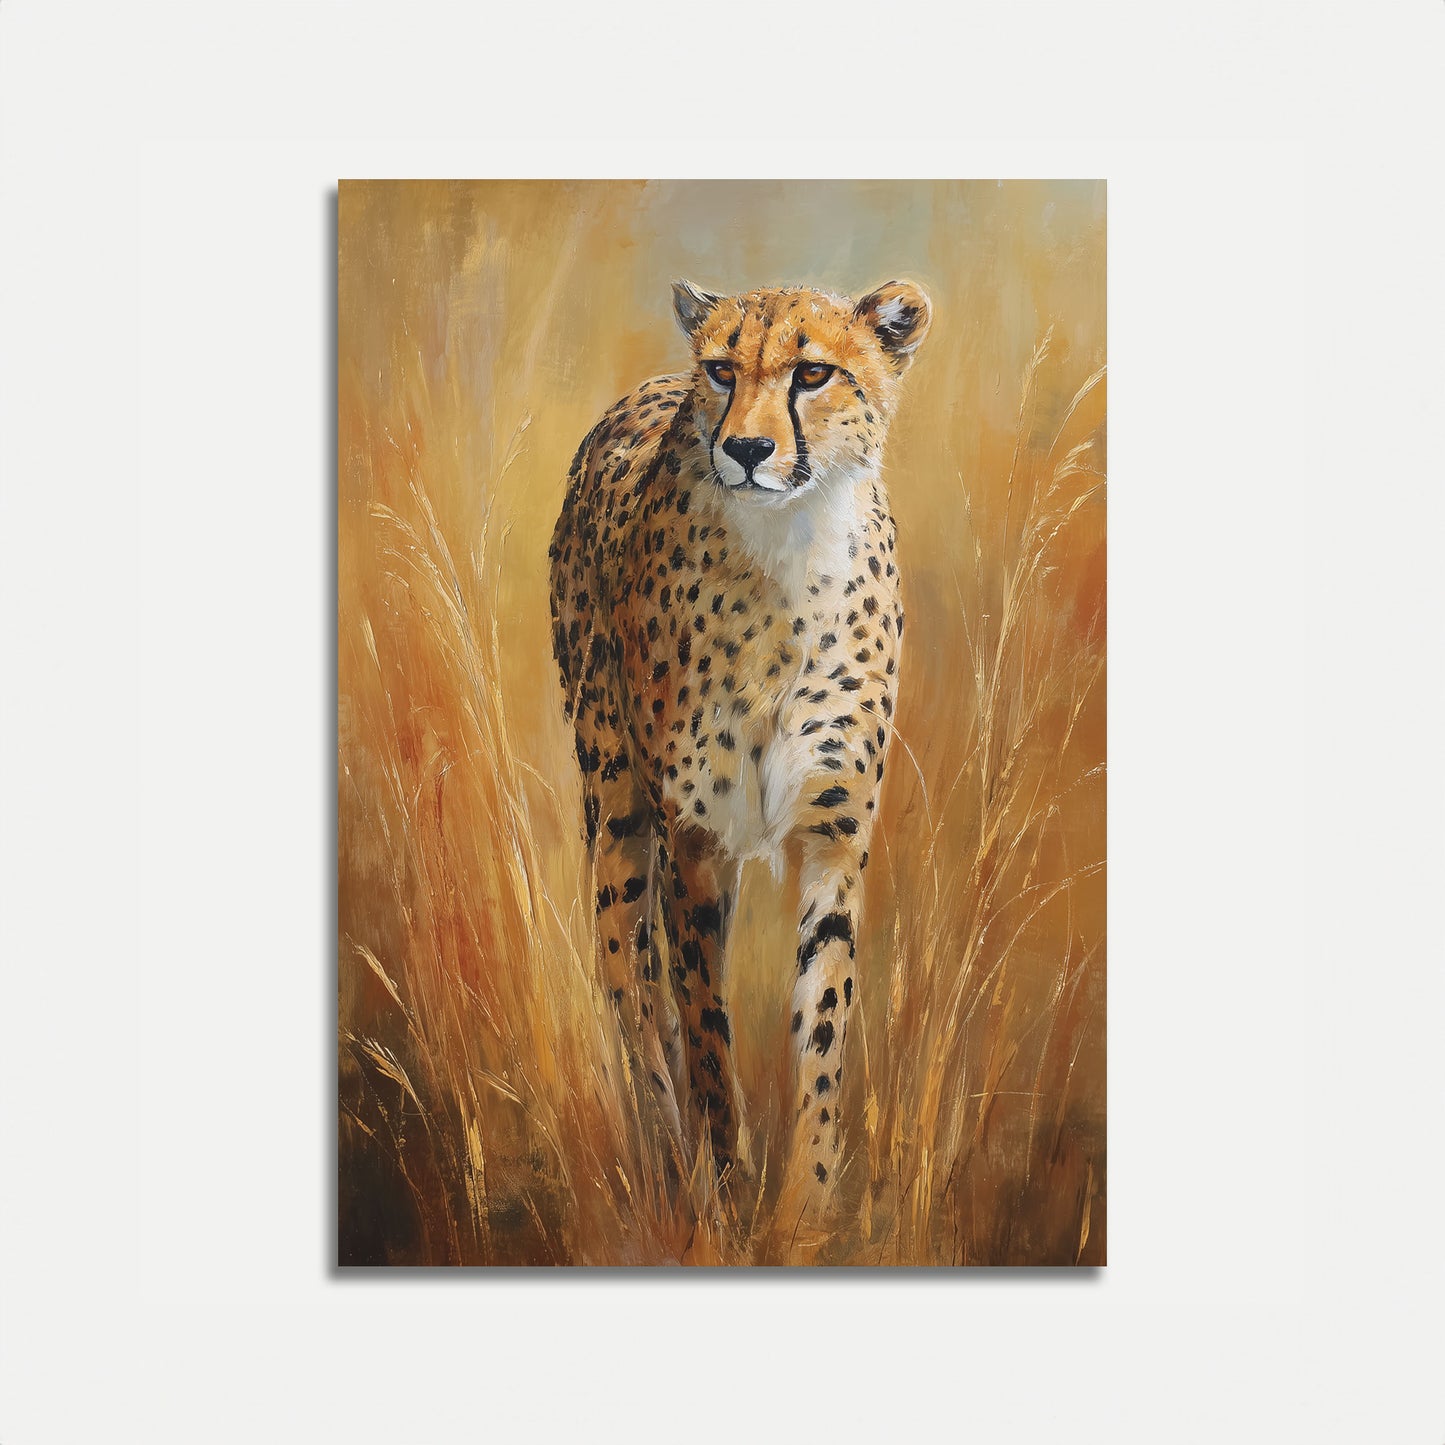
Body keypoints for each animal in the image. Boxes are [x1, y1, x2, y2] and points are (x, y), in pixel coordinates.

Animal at [548, 277, 931, 1228]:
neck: (787, 556)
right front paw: (722, 1193)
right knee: (630, 984)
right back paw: (662, 1172)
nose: (748, 448)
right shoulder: (695, 839)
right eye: (722, 369)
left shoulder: (835, 838)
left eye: (812, 373)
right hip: (615, 806)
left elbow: (821, 1028)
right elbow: (705, 1031)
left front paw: (805, 1209)